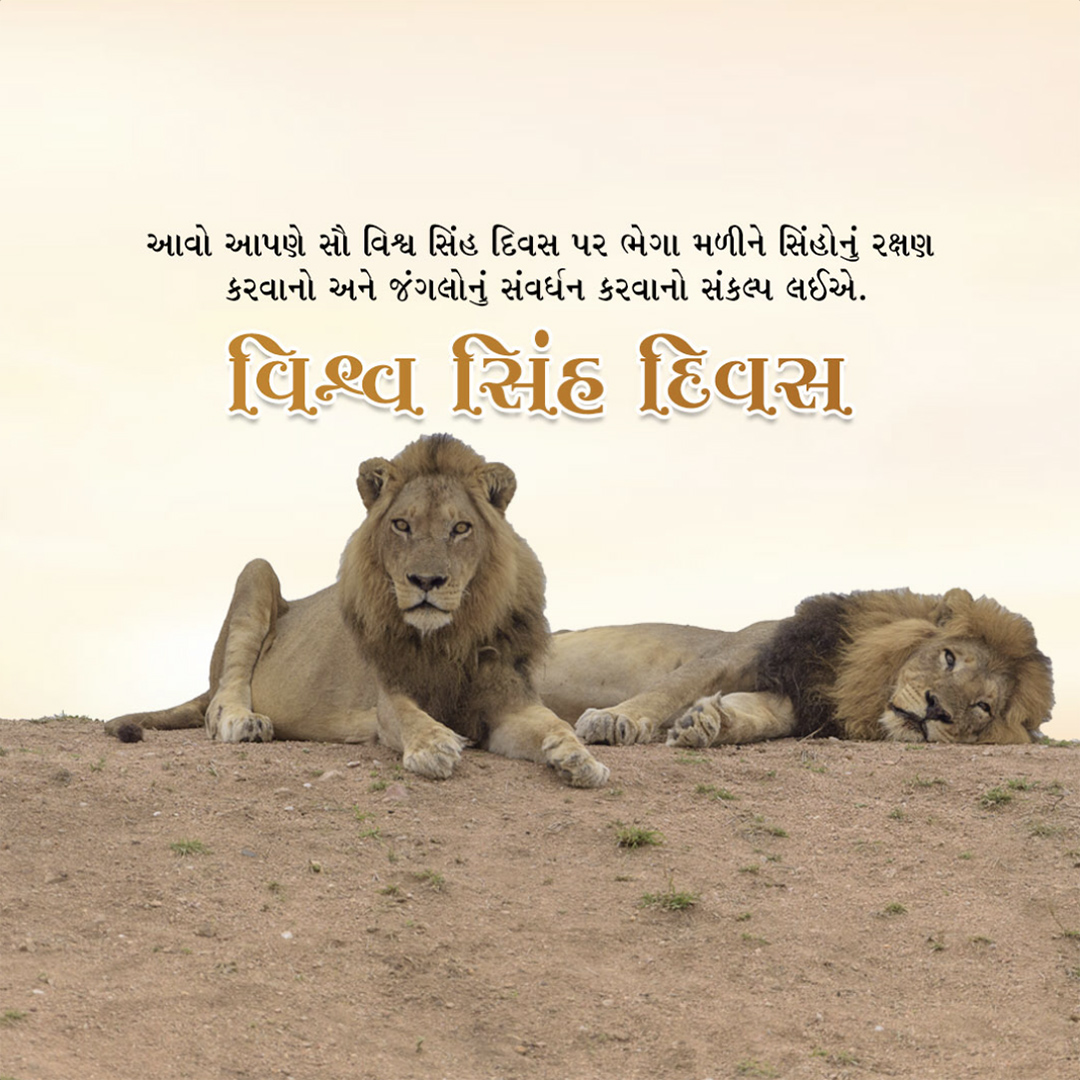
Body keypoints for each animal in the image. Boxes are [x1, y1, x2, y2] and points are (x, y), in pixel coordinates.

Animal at [105, 434, 609, 788]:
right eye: (401, 525)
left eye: (461, 528)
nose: (426, 581)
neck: (449, 636)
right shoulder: (389, 693)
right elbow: (408, 718)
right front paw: (435, 746)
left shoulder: (508, 701)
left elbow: (554, 722)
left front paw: (582, 757)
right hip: (256, 572)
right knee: (222, 697)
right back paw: (242, 721)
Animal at [547, 588, 1053, 749]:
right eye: (949, 658)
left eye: (983, 707)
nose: (936, 710)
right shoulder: (740, 650)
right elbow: (673, 687)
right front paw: (615, 719)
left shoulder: (792, 701)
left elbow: (754, 718)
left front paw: (707, 723)